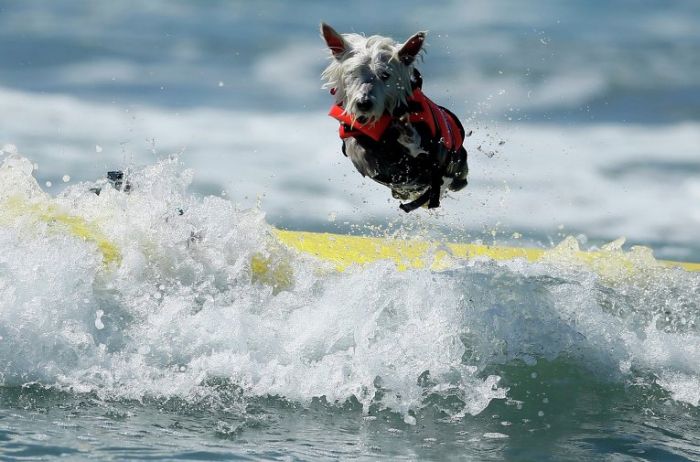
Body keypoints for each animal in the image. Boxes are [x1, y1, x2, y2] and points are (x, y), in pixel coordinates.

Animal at [320, 23, 468, 213]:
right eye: (353, 72)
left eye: (385, 75)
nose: (363, 103)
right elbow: (362, 152)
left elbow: (417, 146)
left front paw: (405, 131)